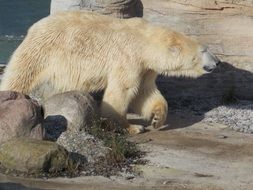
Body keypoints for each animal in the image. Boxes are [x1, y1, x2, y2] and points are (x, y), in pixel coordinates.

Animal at [0, 11, 219, 134]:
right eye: (204, 50)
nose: (217, 62)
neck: (144, 41)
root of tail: (34, 27)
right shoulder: (128, 58)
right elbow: (122, 91)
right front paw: (132, 127)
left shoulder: (145, 67)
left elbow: (145, 92)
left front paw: (157, 119)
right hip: (44, 50)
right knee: (21, 73)